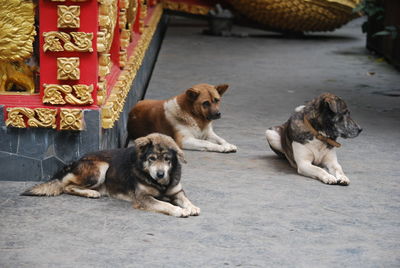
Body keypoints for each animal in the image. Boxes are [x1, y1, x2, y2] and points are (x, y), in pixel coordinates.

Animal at [22, 134, 200, 218]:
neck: (160, 184)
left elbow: (185, 199)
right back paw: (90, 192)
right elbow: (165, 204)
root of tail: (75, 161)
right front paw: (178, 210)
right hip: (102, 167)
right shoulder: (143, 198)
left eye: (167, 159)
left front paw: (191, 207)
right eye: (152, 158)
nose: (160, 174)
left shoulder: (177, 192)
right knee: (67, 186)